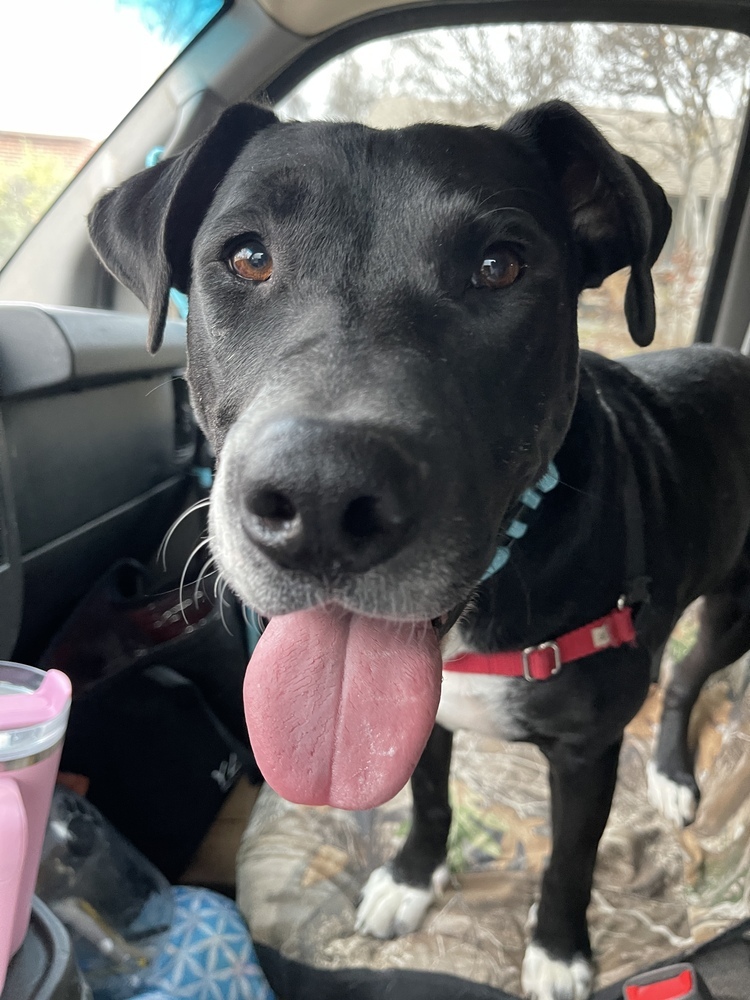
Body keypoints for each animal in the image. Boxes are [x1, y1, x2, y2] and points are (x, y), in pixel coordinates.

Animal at [89, 103, 750, 1000]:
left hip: (735, 613)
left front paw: (558, 950)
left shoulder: (585, 754)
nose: (322, 503)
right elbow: (431, 799)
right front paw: (410, 879)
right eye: (249, 257)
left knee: (683, 679)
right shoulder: (422, 721)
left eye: (500, 267)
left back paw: (674, 775)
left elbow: (571, 858)